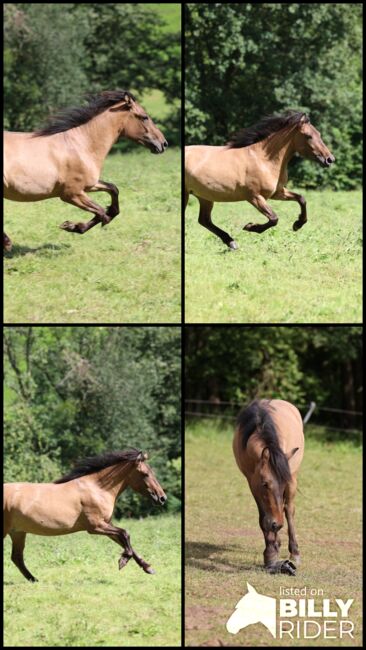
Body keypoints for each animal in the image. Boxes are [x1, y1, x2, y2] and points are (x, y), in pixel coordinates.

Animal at [2, 448, 166, 580]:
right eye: (145, 474)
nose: (162, 498)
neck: (98, 489)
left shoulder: (106, 524)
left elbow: (125, 540)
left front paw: (148, 568)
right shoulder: (95, 527)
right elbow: (125, 534)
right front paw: (123, 561)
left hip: (18, 532)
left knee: (17, 558)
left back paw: (34, 579)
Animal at [3, 86, 169, 248]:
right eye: (144, 117)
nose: (163, 144)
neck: (82, 145)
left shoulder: (89, 185)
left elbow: (113, 191)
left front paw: (75, 226)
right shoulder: (72, 194)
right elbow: (102, 213)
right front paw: (72, 226)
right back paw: (7, 242)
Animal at [186, 111, 334, 248]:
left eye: (319, 134)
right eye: (308, 136)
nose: (329, 159)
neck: (263, 160)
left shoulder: (277, 192)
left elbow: (301, 199)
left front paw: (297, 224)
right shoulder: (254, 197)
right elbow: (274, 218)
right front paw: (250, 227)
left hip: (204, 196)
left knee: (204, 220)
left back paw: (231, 242)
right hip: (188, 194)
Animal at [233, 398, 304, 576]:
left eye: (283, 483)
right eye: (265, 483)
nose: (277, 524)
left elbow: (281, 511)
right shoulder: (252, 483)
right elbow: (263, 518)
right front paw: (271, 552)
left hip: (294, 478)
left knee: (289, 510)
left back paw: (295, 552)